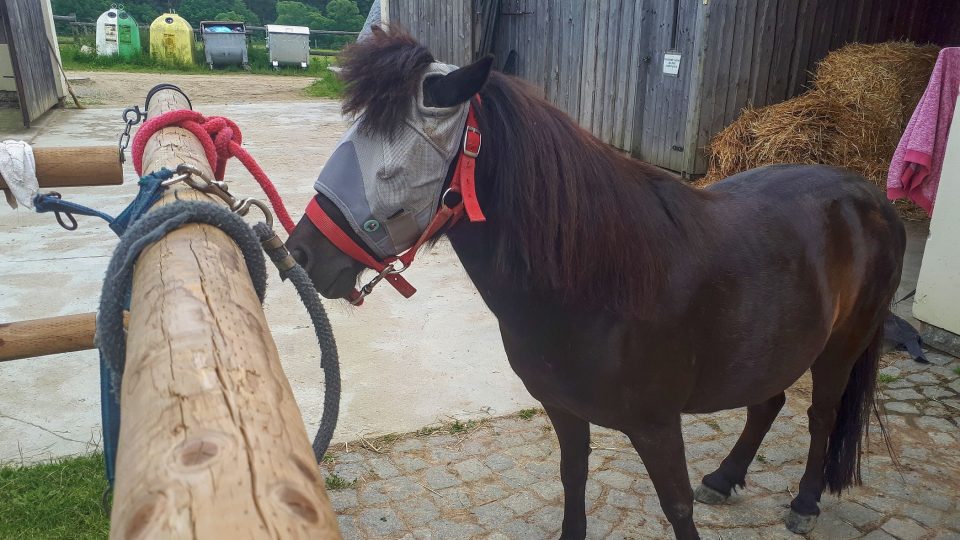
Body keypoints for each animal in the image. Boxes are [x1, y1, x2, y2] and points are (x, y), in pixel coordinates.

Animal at [286, 30, 908, 540]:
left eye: (389, 170)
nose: (300, 253)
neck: (599, 287)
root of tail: (872, 197)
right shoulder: (565, 411)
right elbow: (575, 480)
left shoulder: (656, 427)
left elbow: (676, 507)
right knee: (768, 401)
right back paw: (726, 477)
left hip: (839, 349)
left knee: (821, 414)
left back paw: (804, 503)